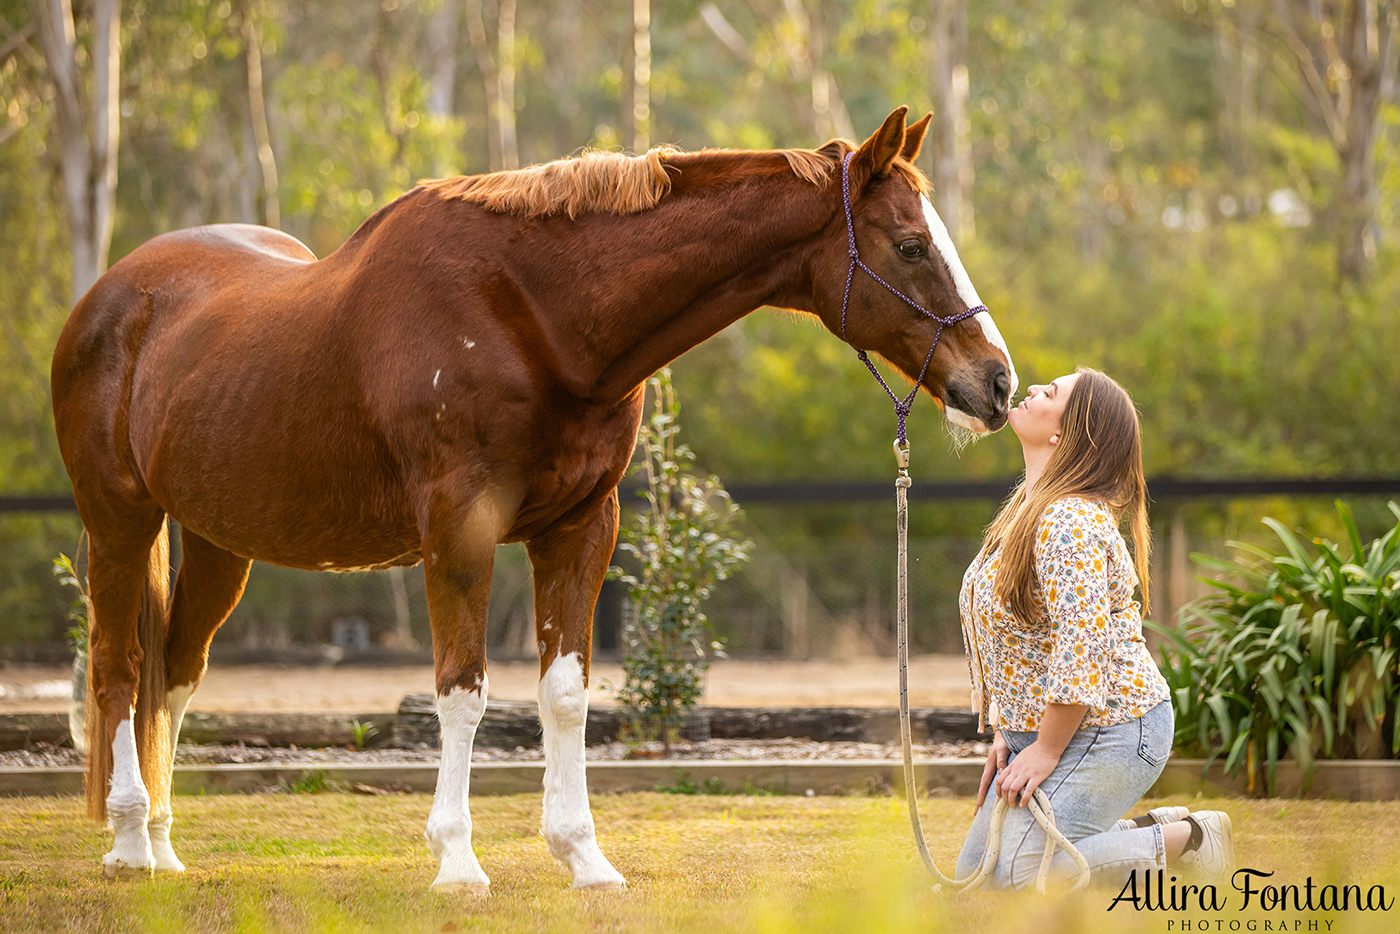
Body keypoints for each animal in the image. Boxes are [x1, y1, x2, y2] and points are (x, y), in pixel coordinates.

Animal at [51, 107, 1019, 890]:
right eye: (909, 246)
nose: (997, 383)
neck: (536, 315)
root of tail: (109, 296)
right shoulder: (460, 530)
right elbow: (463, 690)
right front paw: (457, 861)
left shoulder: (581, 528)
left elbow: (566, 696)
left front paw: (583, 857)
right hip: (120, 522)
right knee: (118, 667)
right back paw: (130, 845)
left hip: (220, 543)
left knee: (174, 676)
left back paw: (164, 845)